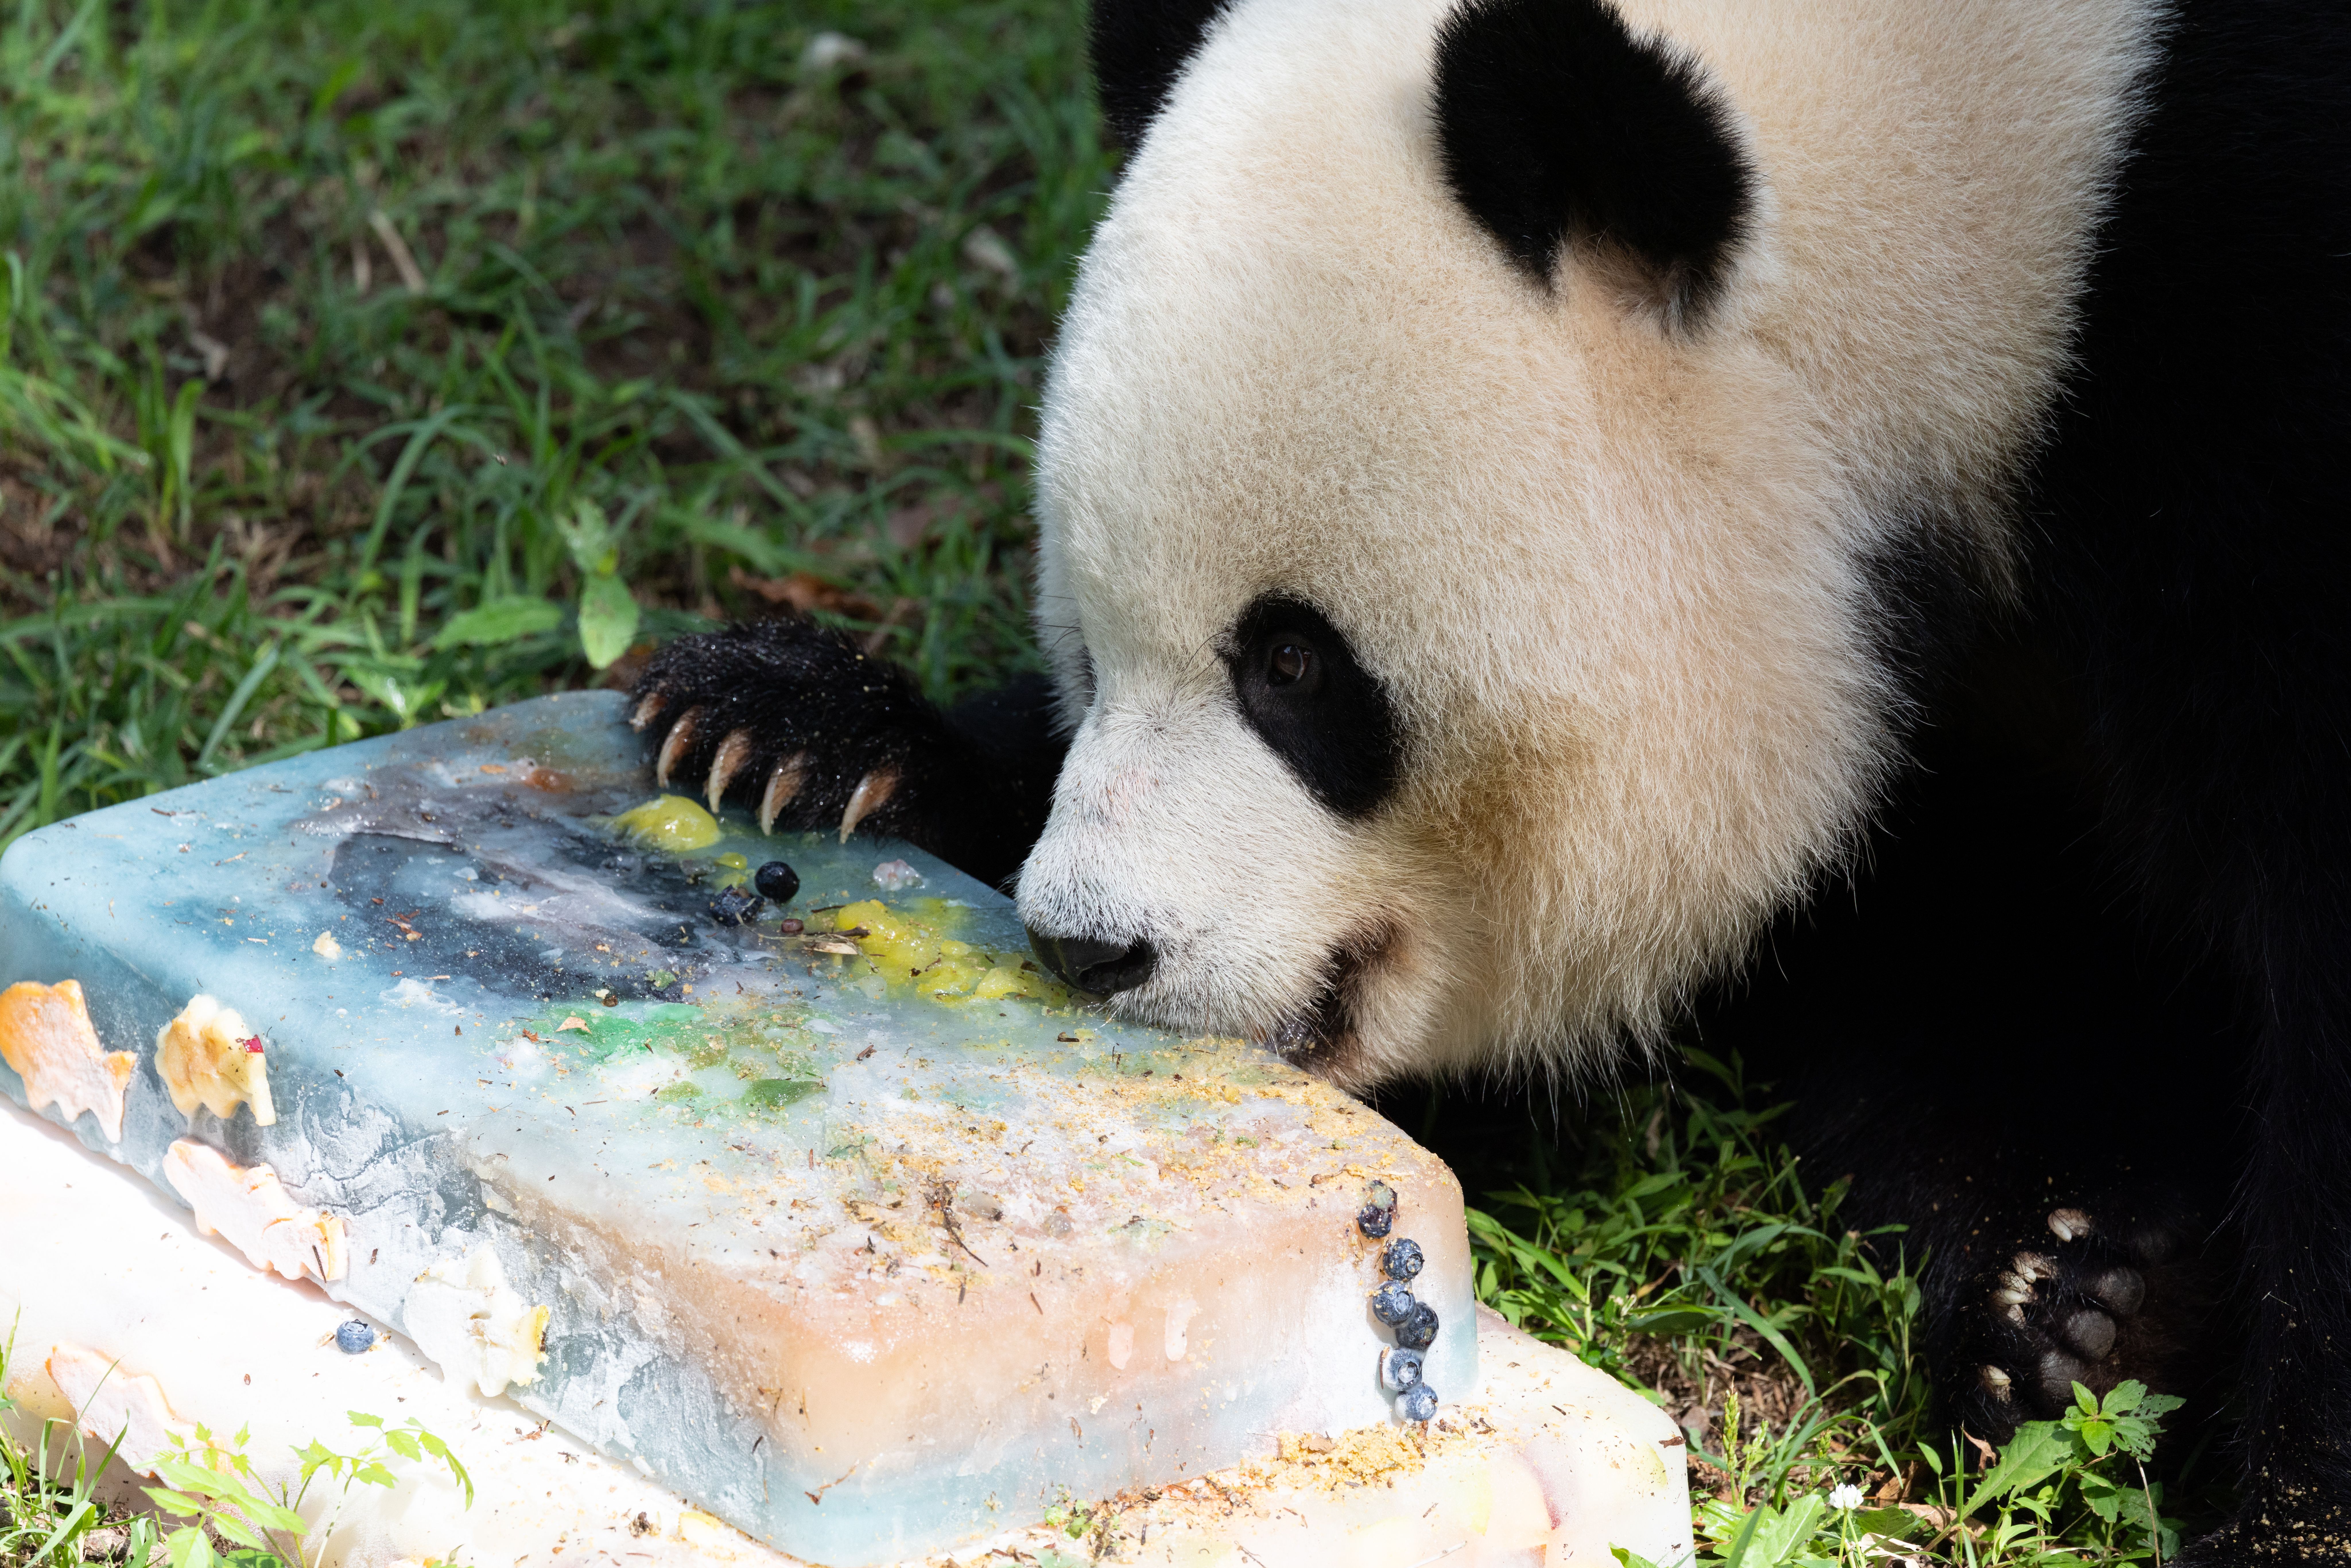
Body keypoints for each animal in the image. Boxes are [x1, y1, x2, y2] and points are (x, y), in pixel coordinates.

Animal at [631, 0, 2351, 1555]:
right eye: (1093, 653)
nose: (1087, 945)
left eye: (1294, 665)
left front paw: (2266, 1497)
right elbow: (1953, 930)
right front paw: (798, 738)